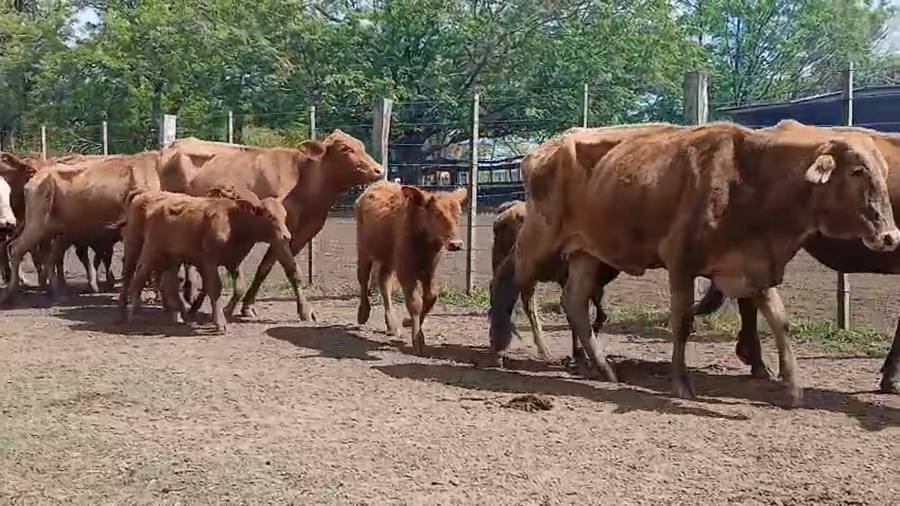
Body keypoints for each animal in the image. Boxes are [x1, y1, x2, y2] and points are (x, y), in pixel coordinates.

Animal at [0, 151, 161, 305]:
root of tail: (37, 178)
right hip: (38, 225)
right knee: (18, 249)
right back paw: (12, 292)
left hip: (51, 230)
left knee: (47, 254)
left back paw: (54, 290)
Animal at [117, 188, 295, 334]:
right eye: (269, 216)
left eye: (285, 215)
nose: (287, 236)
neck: (232, 220)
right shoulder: (208, 261)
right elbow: (215, 288)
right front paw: (220, 323)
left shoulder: (233, 261)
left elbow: (239, 288)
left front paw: (225, 311)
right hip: (144, 249)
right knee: (135, 274)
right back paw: (130, 312)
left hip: (170, 258)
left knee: (167, 284)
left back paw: (177, 312)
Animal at [185, 129, 383, 321]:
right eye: (345, 148)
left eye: (361, 145)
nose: (379, 170)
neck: (304, 182)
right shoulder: (279, 235)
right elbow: (293, 271)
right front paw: (305, 311)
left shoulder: (298, 236)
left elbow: (264, 269)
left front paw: (247, 306)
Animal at [354, 181, 467, 354]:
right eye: (437, 213)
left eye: (459, 214)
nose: (456, 244)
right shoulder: (406, 272)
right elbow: (414, 302)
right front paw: (418, 339)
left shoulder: (430, 272)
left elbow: (431, 297)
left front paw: (407, 322)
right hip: (364, 249)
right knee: (363, 277)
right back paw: (363, 314)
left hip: (388, 259)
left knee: (384, 283)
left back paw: (392, 325)